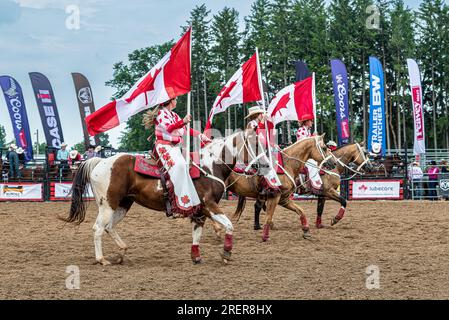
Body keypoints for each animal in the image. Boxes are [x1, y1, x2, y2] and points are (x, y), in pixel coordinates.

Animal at [60, 131, 245, 266]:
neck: (208, 168)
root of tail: (99, 162)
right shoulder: (209, 205)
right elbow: (229, 224)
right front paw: (226, 252)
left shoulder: (199, 211)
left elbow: (197, 234)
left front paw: (196, 257)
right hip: (108, 205)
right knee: (98, 228)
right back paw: (102, 259)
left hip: (123, 204)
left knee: (108, 226)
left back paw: (121, 252)